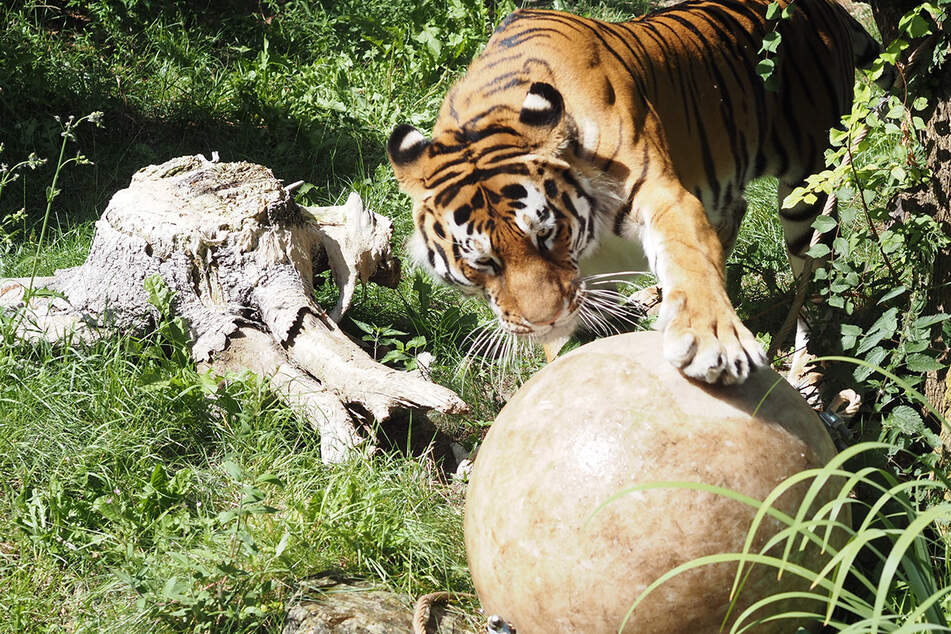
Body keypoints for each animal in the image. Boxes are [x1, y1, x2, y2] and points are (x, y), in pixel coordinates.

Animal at [384, 0, 884, 380]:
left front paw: (713, 342)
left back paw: (807, 371)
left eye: (546, 234)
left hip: (809, 188)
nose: (545, 320)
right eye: (483, 262)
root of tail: (824, 8)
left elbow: (689, 259)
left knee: (817, 286)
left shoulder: (661, 192)